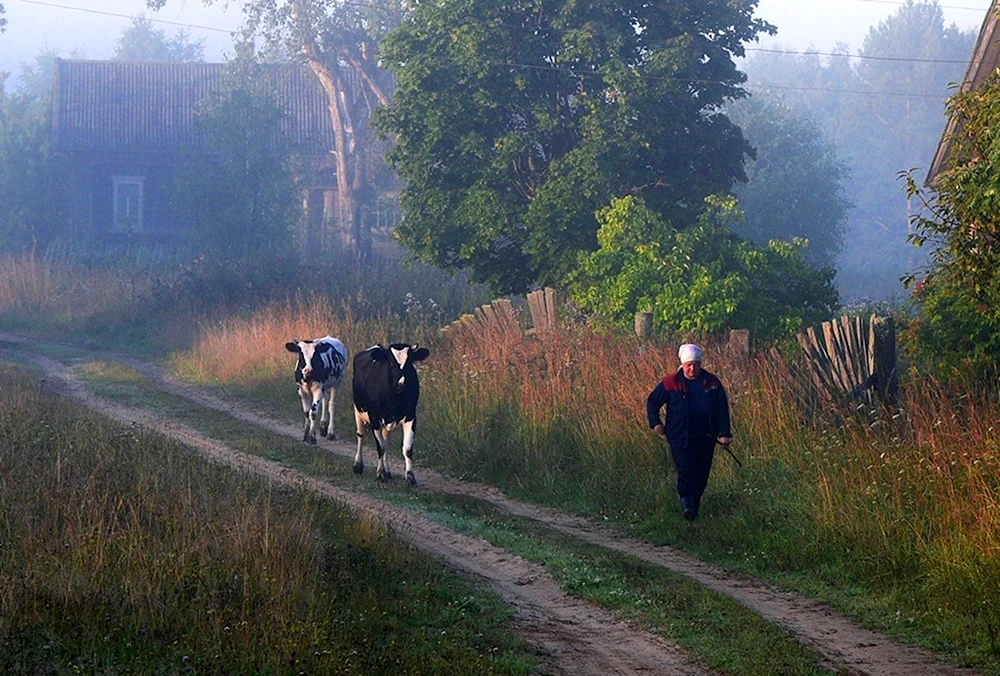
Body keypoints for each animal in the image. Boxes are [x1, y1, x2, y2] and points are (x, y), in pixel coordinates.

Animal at [352, 344, 430, 486]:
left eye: (410, 362)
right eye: (390, 363)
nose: (401, 383)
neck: (395, 400)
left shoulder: (411, 416)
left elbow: (407, 449)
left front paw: (410, 476)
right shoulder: (374, 418)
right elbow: (380, 447)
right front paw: (380, 473)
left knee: (386, 440)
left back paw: (387, 470)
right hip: (358, 410)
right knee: (361, 435)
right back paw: (358, 466)